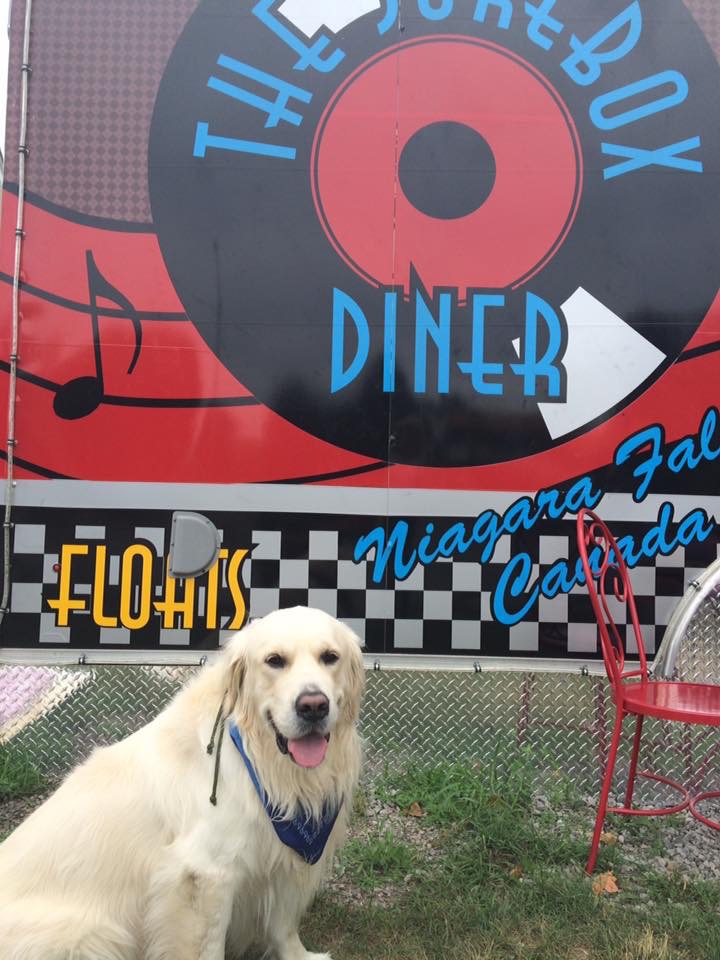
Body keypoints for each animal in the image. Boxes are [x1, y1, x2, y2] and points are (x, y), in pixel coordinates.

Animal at [0, 608, 362, 960]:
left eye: (330, 657)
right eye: (274, 660)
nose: (313, 706)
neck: (258, 757)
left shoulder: (284, 855)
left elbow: (283, 925)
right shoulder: (205, 875)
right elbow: (209, 947)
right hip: (93, 934)